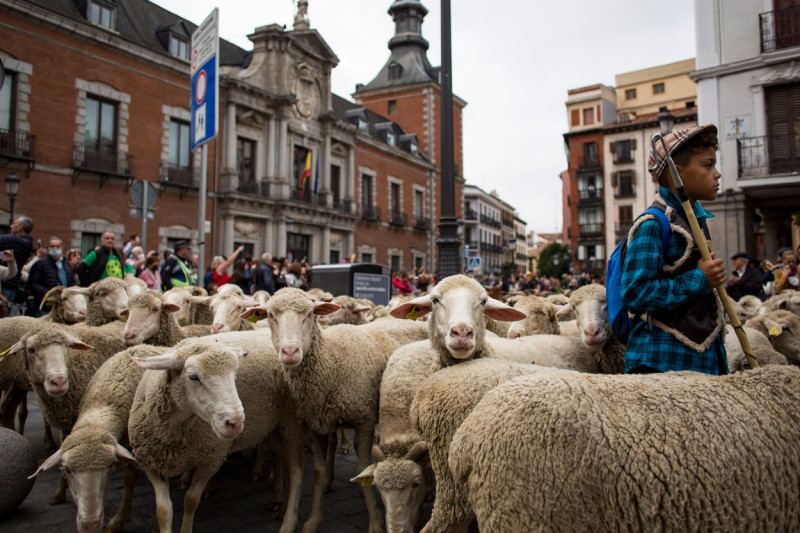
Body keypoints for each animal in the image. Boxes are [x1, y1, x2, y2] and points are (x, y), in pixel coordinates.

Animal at [128, 336, 306, 532]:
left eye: (234, 375)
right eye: (193, 377)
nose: (235, 422)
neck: (175, 430)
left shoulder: (211, 459)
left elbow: (191, 500)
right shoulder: (151, 463)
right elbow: (163, 510)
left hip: (290, 423)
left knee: (297, 470)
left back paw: (289, 521)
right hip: (271, 428)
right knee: (284, 460)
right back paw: (280, 504)